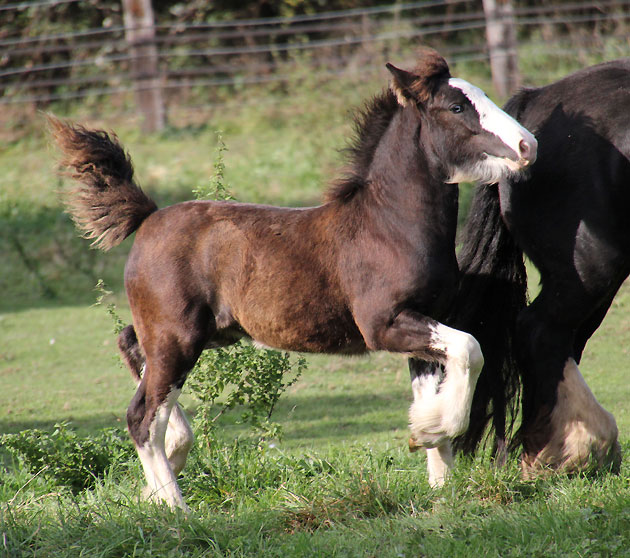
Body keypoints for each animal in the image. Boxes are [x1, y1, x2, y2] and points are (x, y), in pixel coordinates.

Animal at [50, 49, 540, 512]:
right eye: (457, 106)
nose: (527, 144)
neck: (388, 225)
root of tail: (148, 218)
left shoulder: (426, 324)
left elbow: (436, 385)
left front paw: (437, 474)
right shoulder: (384, 324)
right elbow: (471, 349)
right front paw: (435, 430)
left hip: (190, 334)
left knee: (130, 347)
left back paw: (170, 460)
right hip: (177, 338)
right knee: (141, 415)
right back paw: (175, 506)